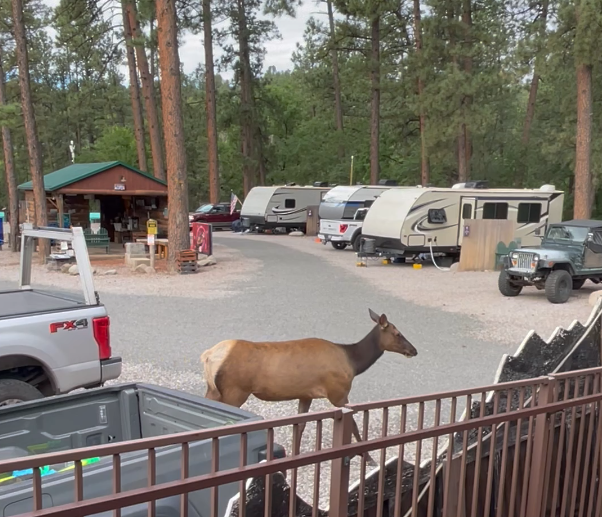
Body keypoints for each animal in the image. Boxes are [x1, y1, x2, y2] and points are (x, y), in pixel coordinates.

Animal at [199, 306, 414, 456]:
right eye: (398, 333)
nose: (414, 350)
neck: (353, 363)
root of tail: (208, 356)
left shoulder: (306, 394)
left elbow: (300, 425)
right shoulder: (338, 393)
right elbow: (352, 423)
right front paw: (368, 457)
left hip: (212, 390)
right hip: (235, 390)